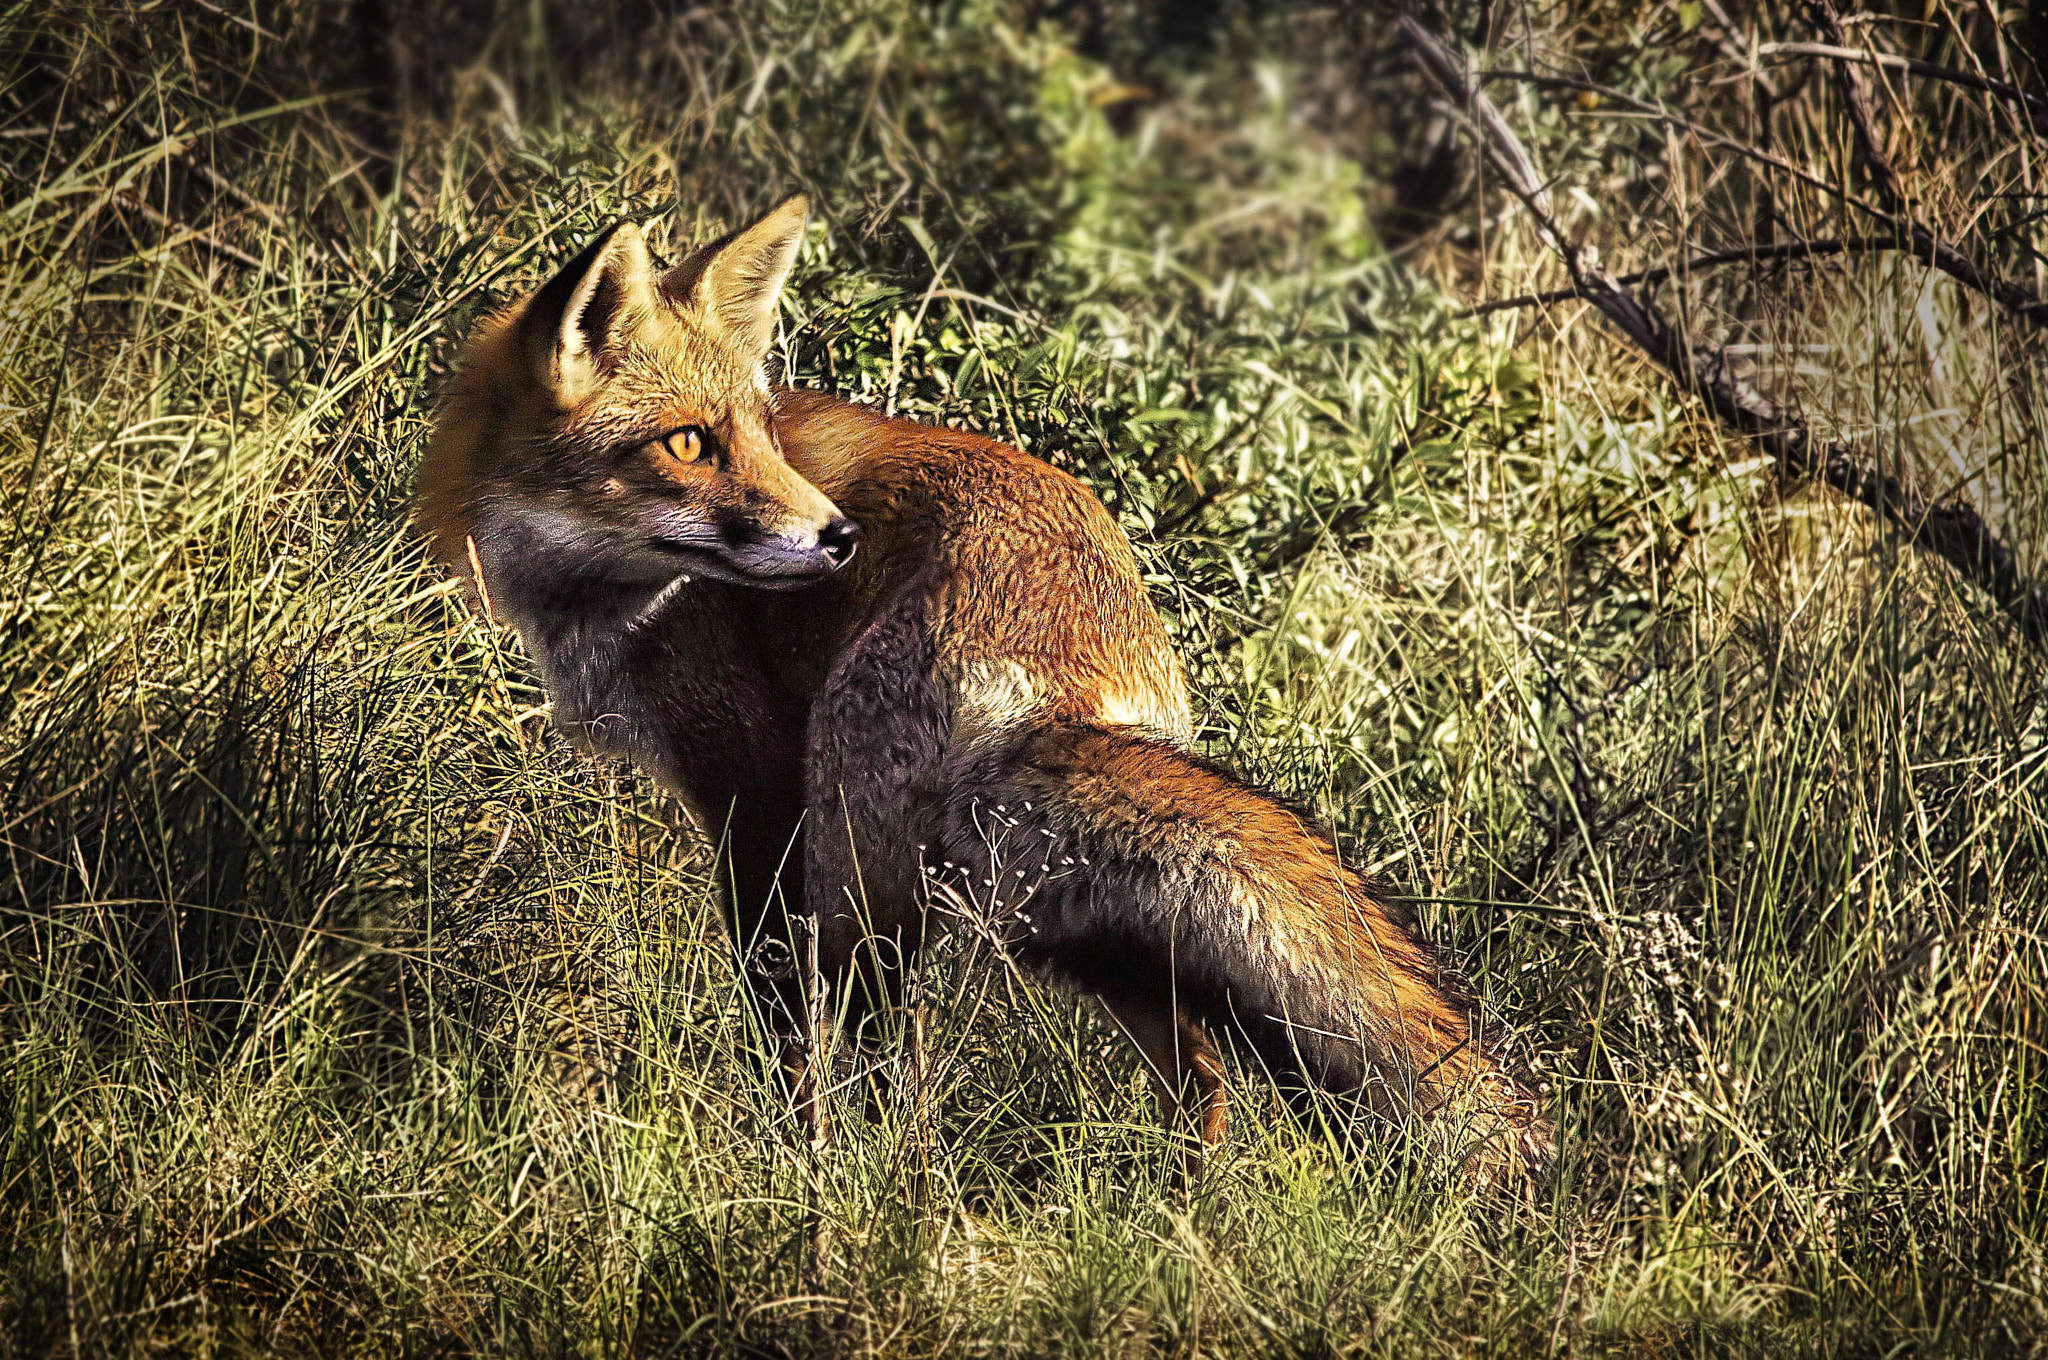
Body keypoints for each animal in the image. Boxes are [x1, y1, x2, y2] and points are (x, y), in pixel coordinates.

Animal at [419, 196, 1548, 1187]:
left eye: (761, 437)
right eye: (688, 442)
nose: (836, 539)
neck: (596, 591)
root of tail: (1074, 672)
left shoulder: (753, 793)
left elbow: (778, 1038)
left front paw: (782, 1162)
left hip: (869, 869)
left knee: (884, 1072)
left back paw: (856, 1199)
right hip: (1066, 906)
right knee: (1198, 1072)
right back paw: (1173, 1221)